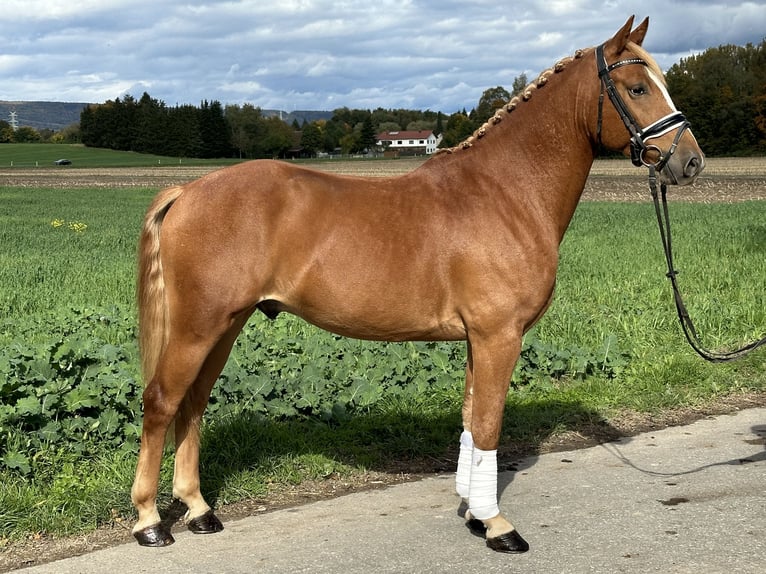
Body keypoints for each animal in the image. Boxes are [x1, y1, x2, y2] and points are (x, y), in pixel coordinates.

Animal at [129, 18, 704, 552]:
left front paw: (473, 513)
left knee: (193, 404)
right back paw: (150, 521)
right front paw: (498, 526)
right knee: (161, 401)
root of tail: (189, 191)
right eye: (637, 88)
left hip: (224, 326)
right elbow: (489, 425)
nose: (690, 161)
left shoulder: (479, 338)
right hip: (198, 326)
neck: (506, 192)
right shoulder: (499, 336)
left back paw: (198, 509)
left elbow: (471, 420)